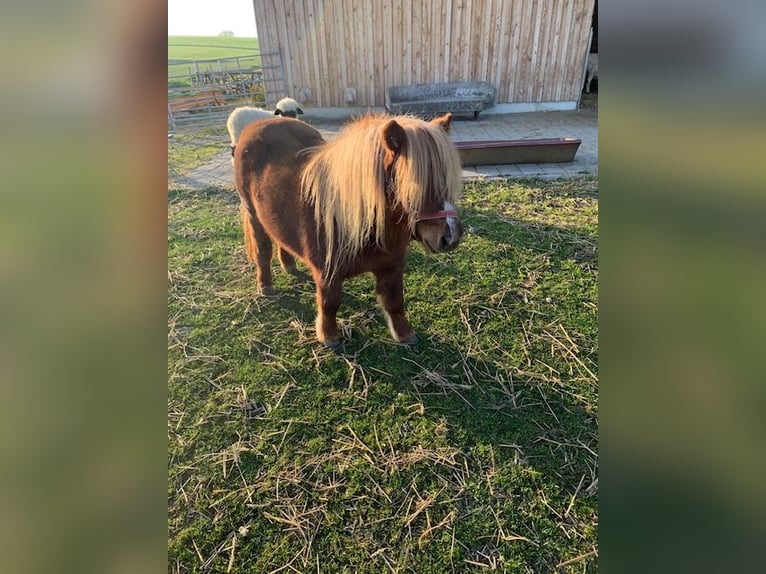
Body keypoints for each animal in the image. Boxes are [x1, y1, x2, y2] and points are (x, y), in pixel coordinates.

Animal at [234, 112, 462, 346]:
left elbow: (394, 301)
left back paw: (289, 265)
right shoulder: (327, 273)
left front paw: (405, 334)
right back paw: (266, 286)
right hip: (253, 214)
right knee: (263, 250)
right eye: (414, 184)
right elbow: (330, 303)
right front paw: (329, 337)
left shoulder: (392, 267)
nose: (451, 237)